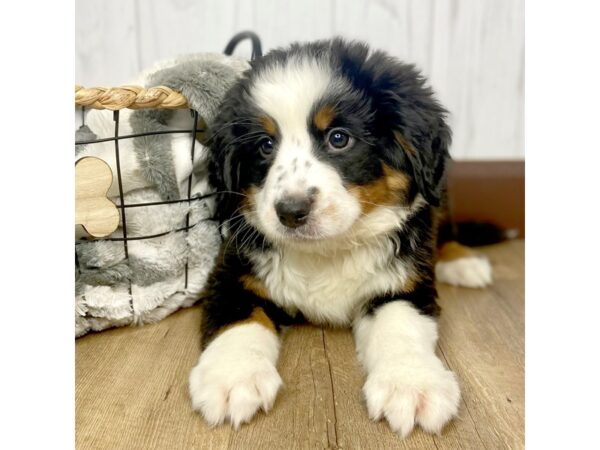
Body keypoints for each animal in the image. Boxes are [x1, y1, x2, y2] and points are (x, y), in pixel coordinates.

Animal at [188, 38, 492, 440]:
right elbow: (238, 322)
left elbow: (401, 326)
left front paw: (412, 384)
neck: (328, 251)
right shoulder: (232, 273)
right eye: (266, 145)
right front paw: (232, 377)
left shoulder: (402, 283)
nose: (291, 211)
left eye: (338, 139)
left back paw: (464, 262)